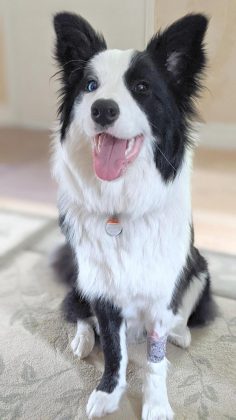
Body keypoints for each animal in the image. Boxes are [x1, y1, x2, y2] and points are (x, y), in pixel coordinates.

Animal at [52, 13, 216, 420]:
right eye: (90, 86)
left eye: (142, 88)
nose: (102, 109)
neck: (121, 208)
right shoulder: (103, 288)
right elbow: (114, 350)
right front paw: (108, 393)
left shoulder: (162, 287)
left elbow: (156, 362)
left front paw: (156, 406)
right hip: (82, 279)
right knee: (77, 312)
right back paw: (82, 340)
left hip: (200, 267)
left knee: (183, 312)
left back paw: (180, 332)